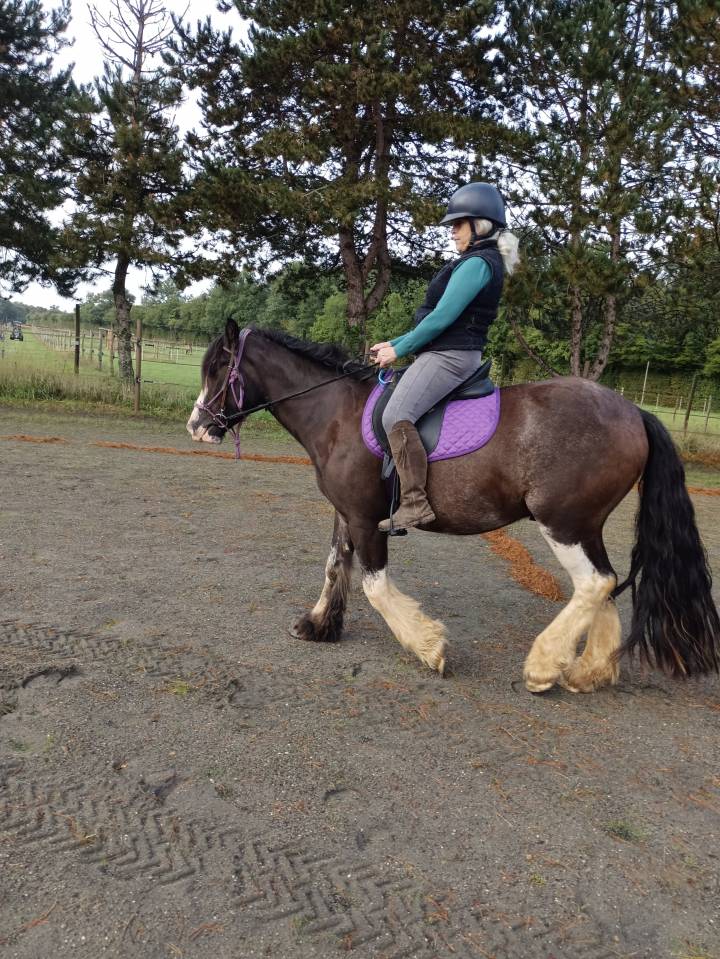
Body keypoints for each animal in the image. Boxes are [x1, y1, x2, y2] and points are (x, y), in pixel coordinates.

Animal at [186, 319, 720, 694]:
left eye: (218, 369)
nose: (197, 425)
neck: (338, 414)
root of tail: (633, 411)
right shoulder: (344, 513)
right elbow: (335, 566)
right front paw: (318, 626)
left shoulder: (366, 518)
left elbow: (375, 586)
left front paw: (429, 647)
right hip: (585, 525)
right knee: (606, 584)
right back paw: (588, 672)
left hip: (564, 522)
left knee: (594, 583)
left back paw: (542, 667)